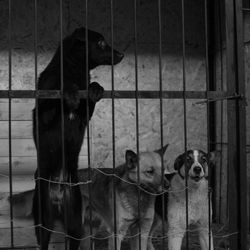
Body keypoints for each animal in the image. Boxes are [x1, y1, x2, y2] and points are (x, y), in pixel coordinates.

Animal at [32, 27, 124, 250]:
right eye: (100, 43)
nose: (122, 54)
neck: (73, 73)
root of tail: (57, 193)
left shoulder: (83, 119)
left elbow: (89, 96)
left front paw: (95, 87)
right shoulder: (43, 115)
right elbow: (57, 98)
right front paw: (69, 90)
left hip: (75, 219)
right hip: (43, 217)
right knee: (43, 239)